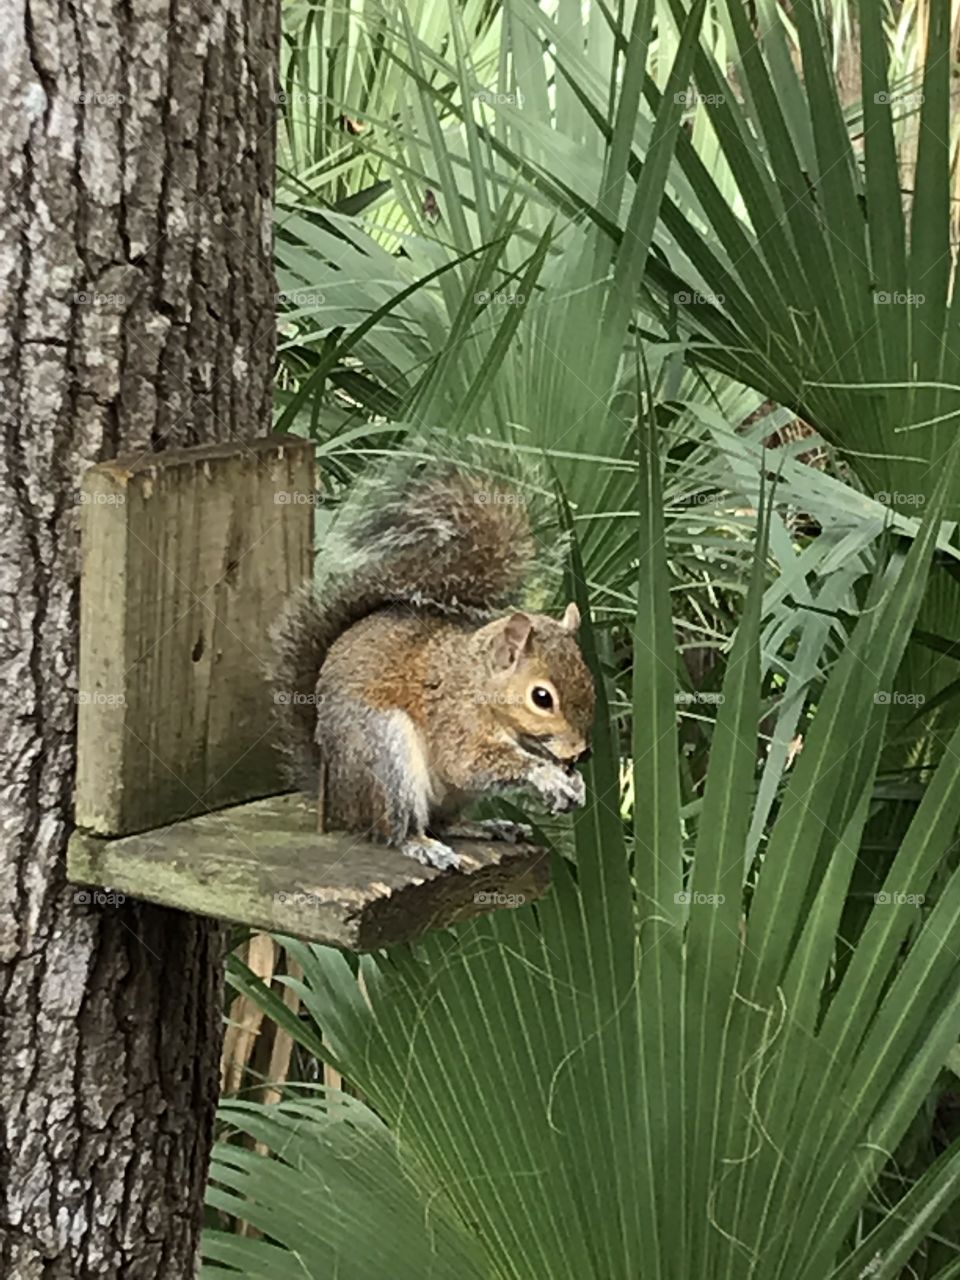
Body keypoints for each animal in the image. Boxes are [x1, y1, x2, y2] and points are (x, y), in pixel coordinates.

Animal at [271, 458, 593, 870]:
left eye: (589, 680)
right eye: (541, 697)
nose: (579, 752)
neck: (478, 684)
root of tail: (339, 803)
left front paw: (573, 784)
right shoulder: (454, 721)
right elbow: (469, 763)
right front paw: (547, 776)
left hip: (447, 794)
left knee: (444, 820)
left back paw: (487, 827)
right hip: (385, 755)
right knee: (395, 829)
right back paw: (422, 845)